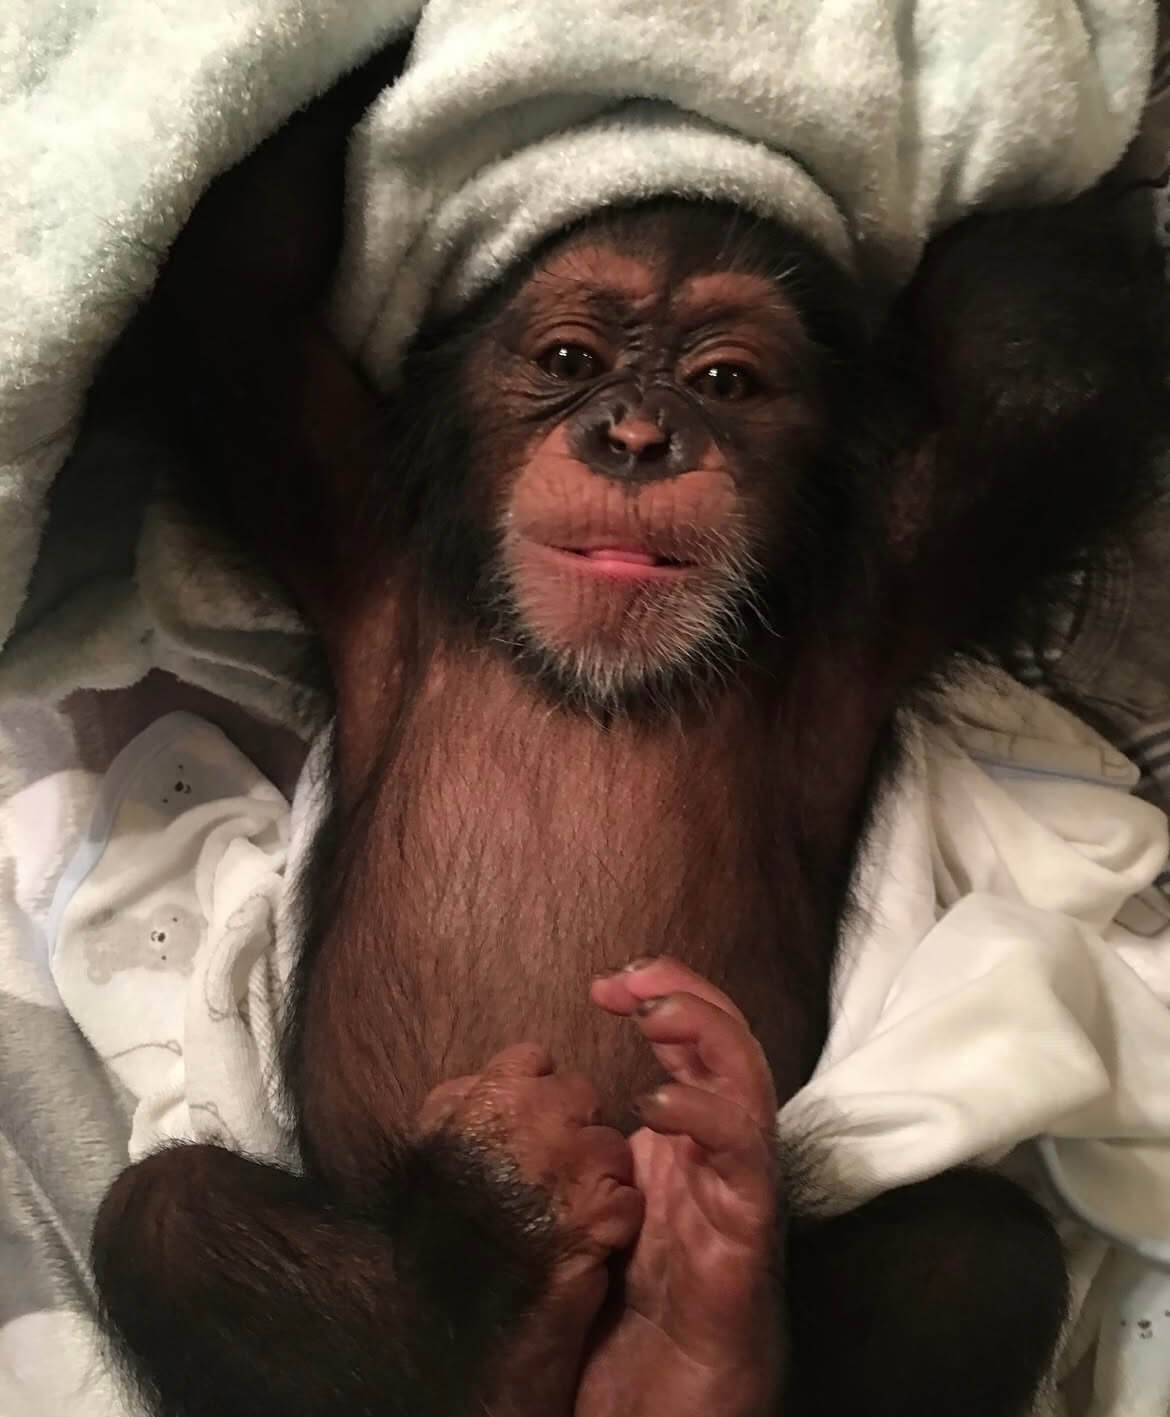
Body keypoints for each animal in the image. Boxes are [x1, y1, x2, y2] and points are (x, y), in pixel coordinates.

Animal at [74, 47, 1170, 1417]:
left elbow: (1041, 363)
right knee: (170, 1226)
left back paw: (696, 1317)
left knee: (972, 1252)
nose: (637, 435)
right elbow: (232, 290)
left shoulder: (890, 578)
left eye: (723, 381)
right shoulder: (344, 509)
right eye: (567, 356)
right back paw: (505, 1279)